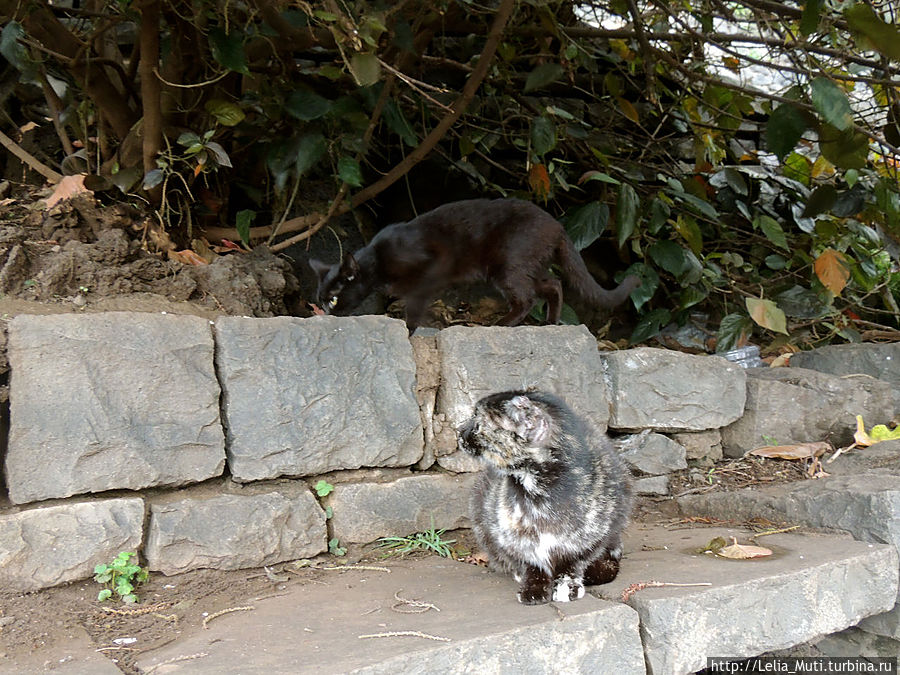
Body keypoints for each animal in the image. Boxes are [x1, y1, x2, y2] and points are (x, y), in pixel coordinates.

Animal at [310, 197, 640, 332]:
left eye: (334, 299)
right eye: (322, 300)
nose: (326, 312)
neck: (378, 260)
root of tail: (558, 226)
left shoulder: (432, 268)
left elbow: (415, 305)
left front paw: (409, 330)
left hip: (508, 265)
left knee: (527, 298)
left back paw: (500, 325)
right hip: (524, 266)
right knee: (554, 284)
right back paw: (550, 323)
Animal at [458, 390, 632, 608]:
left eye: (477, 423)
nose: (458, 431)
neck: (537, 498)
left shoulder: (593, 539)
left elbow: (573, 563)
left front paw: (567, 585)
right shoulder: (513, 537)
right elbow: (532, 563)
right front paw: (534, 587)